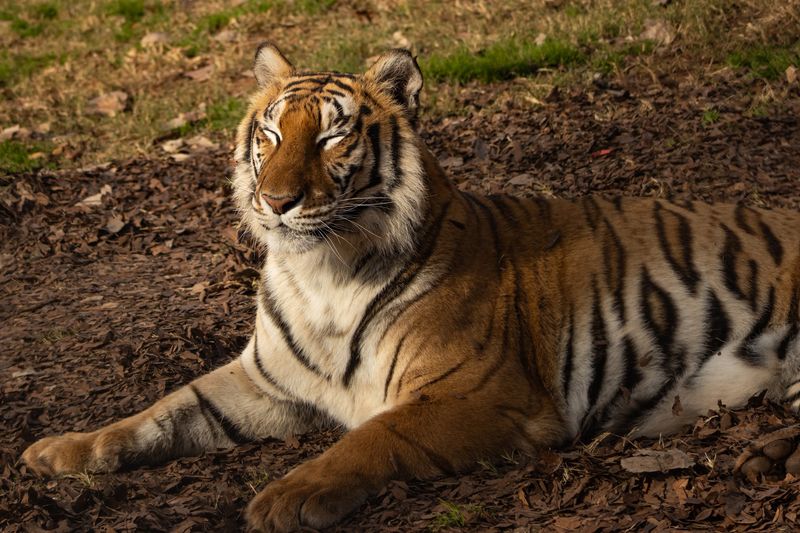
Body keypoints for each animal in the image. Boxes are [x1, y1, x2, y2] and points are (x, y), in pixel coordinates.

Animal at [21, 42, 800, 532]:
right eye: (270, 136)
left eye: (330, 138)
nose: (275, 202)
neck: (320, 274)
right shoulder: (265, 382)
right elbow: (163, 410)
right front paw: (60, 451)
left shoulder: (478, 393)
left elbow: (369, 440)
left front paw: (284, 497)